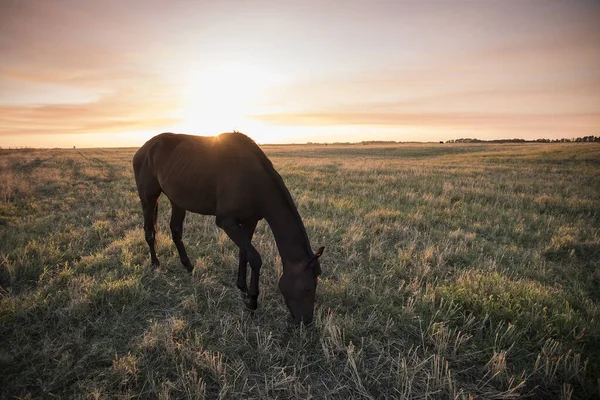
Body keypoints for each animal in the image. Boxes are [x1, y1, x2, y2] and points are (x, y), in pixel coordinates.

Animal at [131, 132, 324, 324]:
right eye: (307, 288)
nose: (306, 322)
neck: (253, 180)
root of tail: (144, 149)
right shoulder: (227, 222)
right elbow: (255, 258)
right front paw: (252, 301)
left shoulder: (250, 221)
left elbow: (244, 254)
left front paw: (243, 289)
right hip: (148, 198)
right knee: (149, 231)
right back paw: (155, 263)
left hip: (177, 200)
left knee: (176, 231)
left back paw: (189, 266)